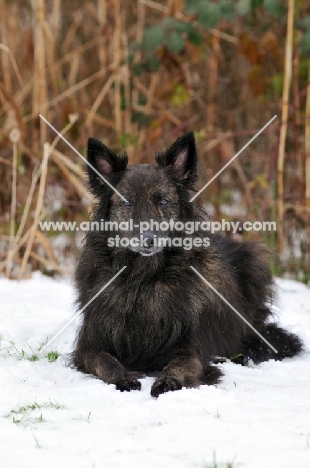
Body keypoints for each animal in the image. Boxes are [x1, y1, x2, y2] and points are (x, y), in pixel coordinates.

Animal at [71, 133, 302, 396]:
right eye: (127, 203)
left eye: (163, 201)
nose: (148, 239)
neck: (144, 280)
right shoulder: (90, 346)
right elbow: (105, 362)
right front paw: (124, 378)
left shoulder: (191, 347)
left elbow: (182, 364)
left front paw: (168, 381)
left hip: (254, 259)